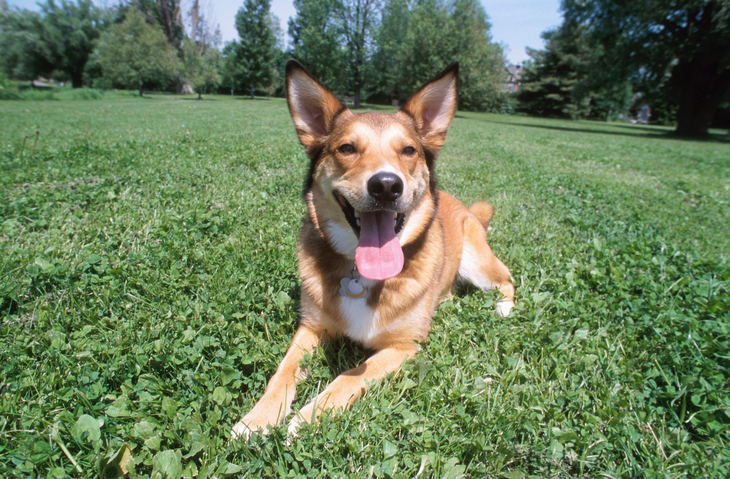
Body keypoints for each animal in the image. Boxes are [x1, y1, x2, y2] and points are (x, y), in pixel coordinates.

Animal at [232, 61, 512, 442]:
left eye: (408, 150)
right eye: (347, 148)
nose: (386, 185)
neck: (361, 274)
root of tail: (465, 206)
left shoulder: (404, 346)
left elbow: (351, 375)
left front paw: (308, 417)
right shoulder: (311, 328)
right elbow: (283, 372)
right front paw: (257, 418)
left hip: (478, 263)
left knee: (507, 279)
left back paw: (503, 308)